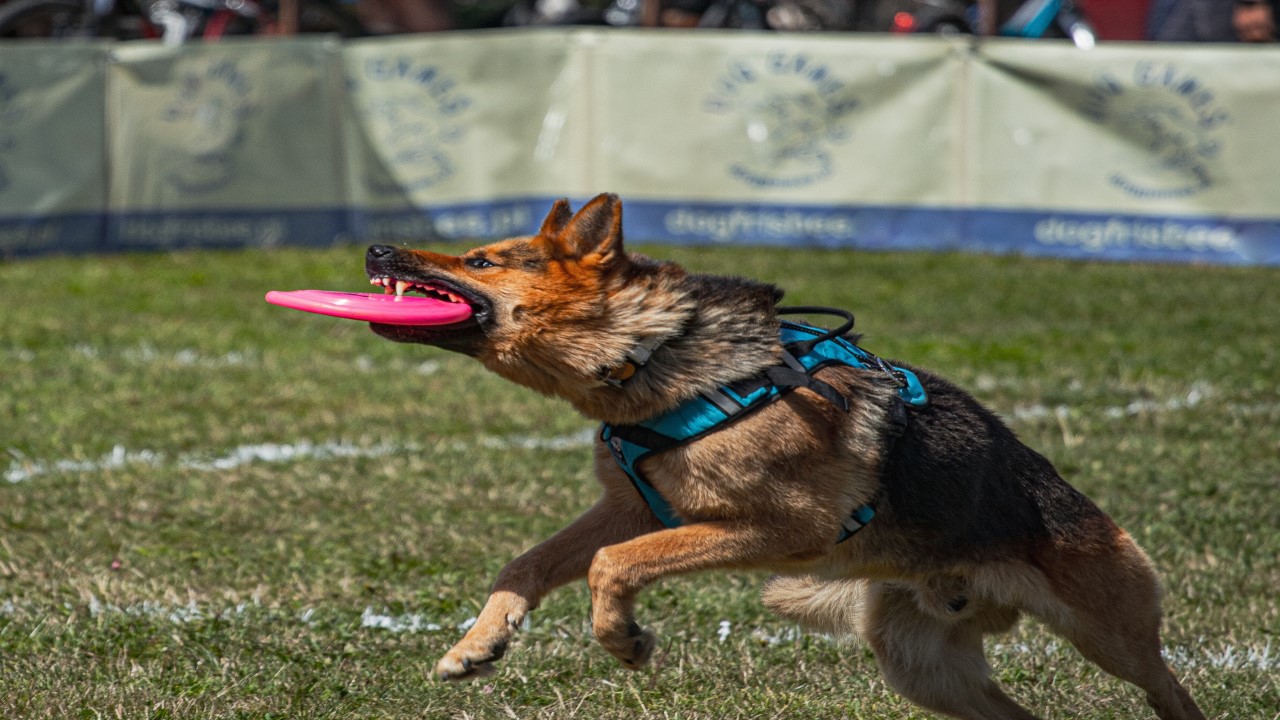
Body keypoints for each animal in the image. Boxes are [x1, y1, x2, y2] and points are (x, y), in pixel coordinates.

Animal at [366, 194, 1203, 717]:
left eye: (481, 261)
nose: (374, 245)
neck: (652, 354)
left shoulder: (784, 527)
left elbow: (614, 564)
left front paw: (624, 640)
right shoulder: (631, 506)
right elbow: (529, 564)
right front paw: (479, 644)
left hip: (1110, 631)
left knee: (1167, 686)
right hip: (924, 670)